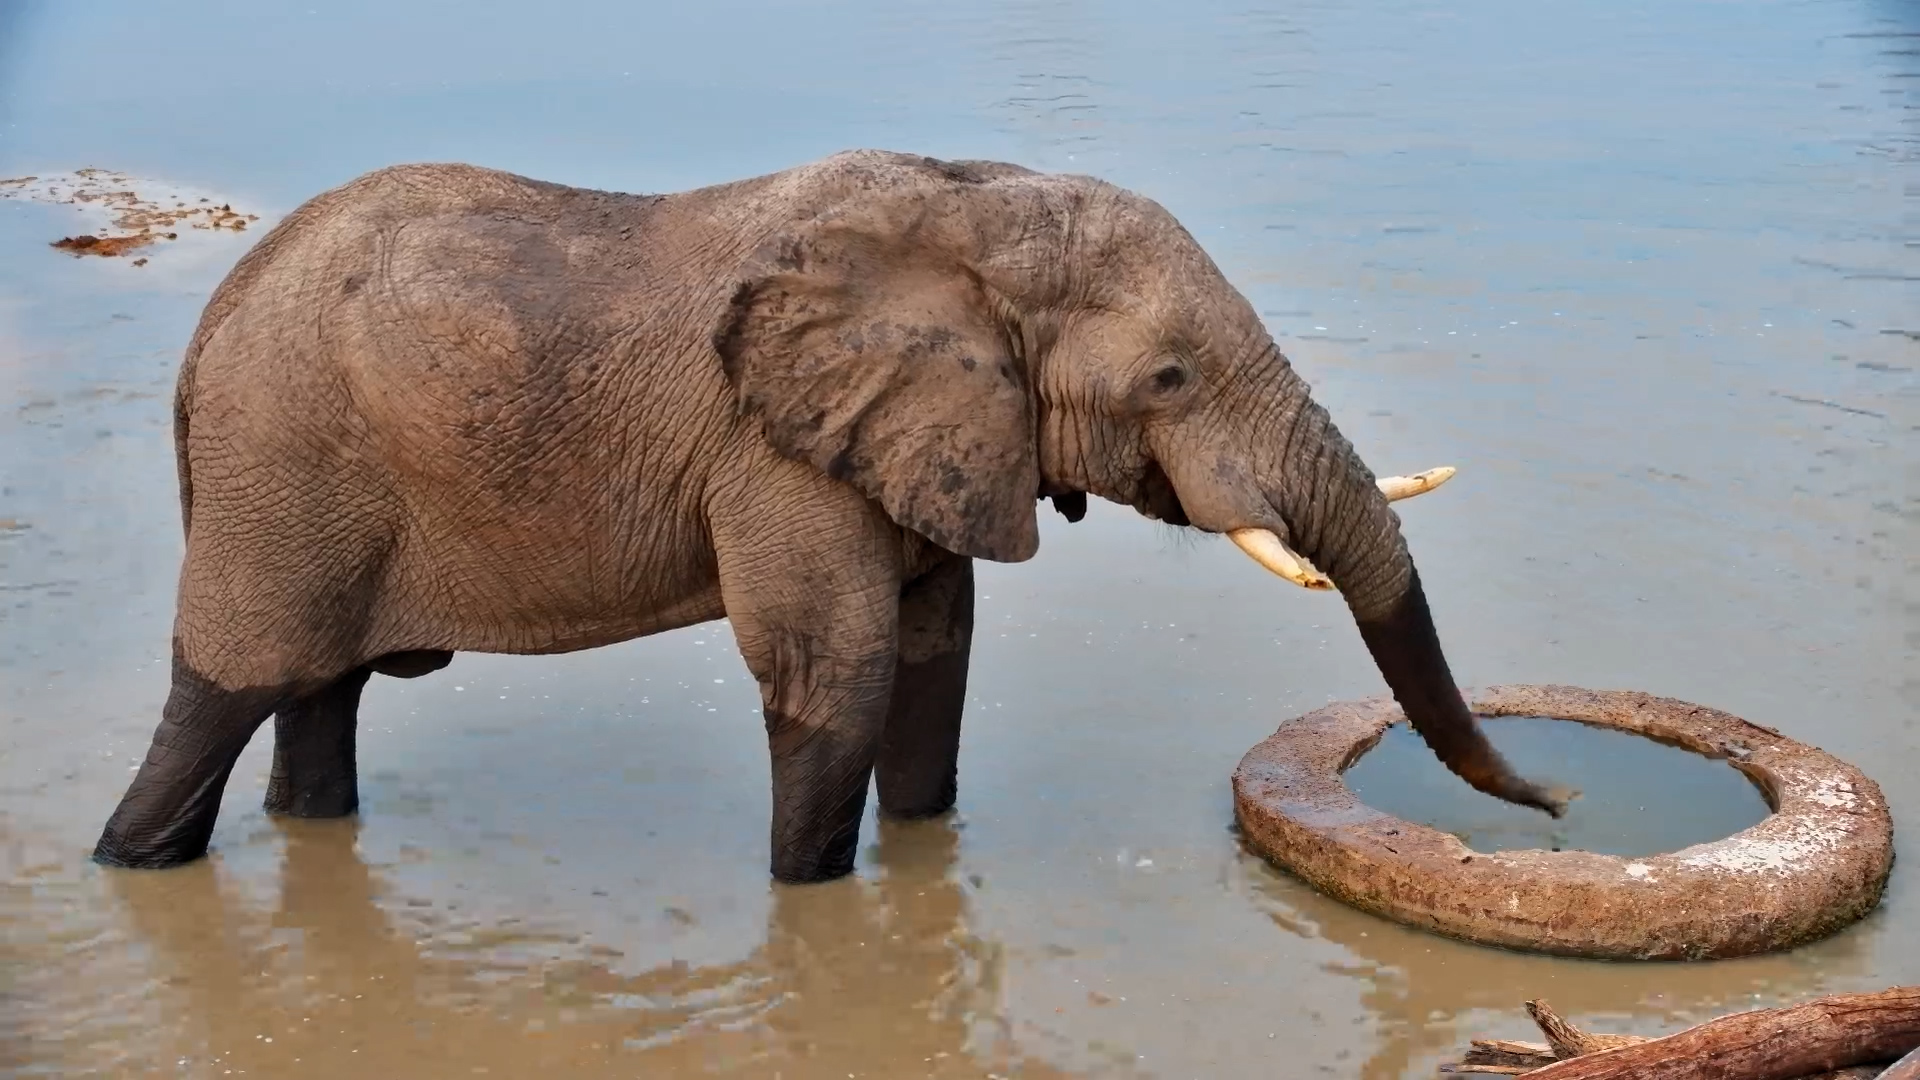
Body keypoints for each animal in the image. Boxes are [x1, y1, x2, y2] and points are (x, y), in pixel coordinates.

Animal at [92, 149, 1567, 884]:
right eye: (1168, 381)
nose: (1554, 809)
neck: (963, 208)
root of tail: (211, 322)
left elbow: (934, 656)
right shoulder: (777, 449)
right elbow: (835, 671)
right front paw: (812, 896)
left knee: (319, 693)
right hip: (278, 461)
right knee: (224, 693)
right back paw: (131, 862)